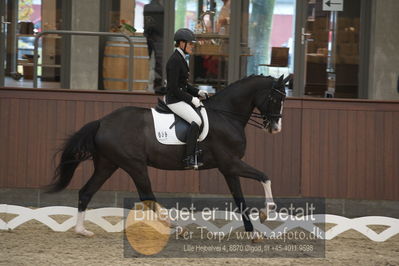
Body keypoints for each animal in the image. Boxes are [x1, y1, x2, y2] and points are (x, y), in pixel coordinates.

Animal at [48, 74, 290, 236]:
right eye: (275, 99)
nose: (276, 128)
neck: (227, 115)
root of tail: (102, 122)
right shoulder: (230, 163)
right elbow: (264, 176)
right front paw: (267, 212)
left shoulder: (228, 168)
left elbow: (240, 198)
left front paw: (252, 231)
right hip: (135, 165)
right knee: (147, 196)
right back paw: (176, 226)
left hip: (107, 165)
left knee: (86, 192)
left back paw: (81, 230)